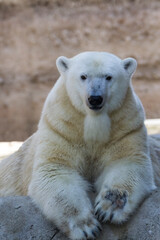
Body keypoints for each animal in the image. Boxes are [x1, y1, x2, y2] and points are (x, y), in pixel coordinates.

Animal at [0, 52, 158, 240]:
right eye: (83, 76)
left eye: (108, 77)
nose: (95, 98)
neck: (93, 122)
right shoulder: (61, 128)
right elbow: (55, 172)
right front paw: (86, 227)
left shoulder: (126, 128)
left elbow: (128, 163)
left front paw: (109, 208)